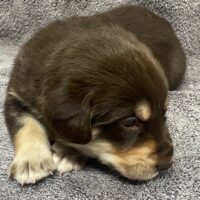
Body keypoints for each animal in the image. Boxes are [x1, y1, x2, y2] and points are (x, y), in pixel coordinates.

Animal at [4, 5, 186, 185]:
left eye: (164, 114)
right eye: (130, 122)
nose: (167, 163)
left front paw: (67, 153)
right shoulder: (15, 93)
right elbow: (25, 124)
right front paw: (31, 162)